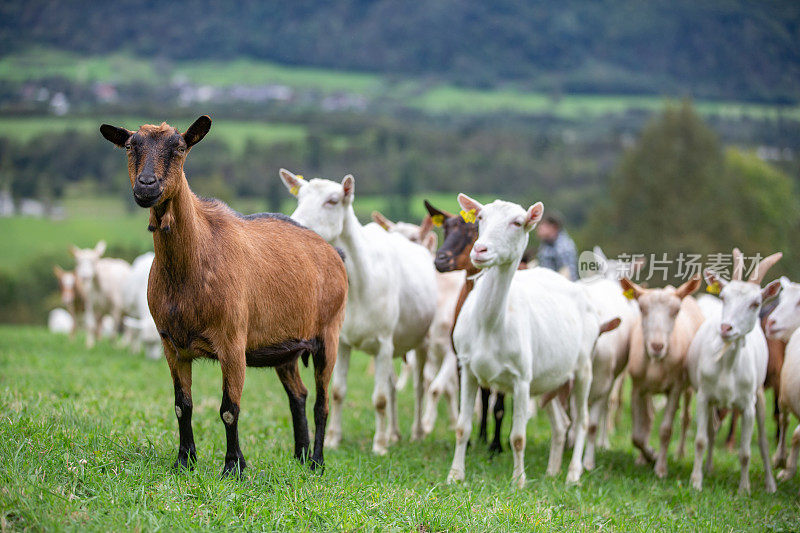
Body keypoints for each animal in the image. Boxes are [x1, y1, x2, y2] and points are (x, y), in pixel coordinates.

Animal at [97, 115, 346, 474]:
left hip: (329, 333)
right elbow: (182, 405)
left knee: (322, 402)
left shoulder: (232, 342)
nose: (146, 185)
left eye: (180, 148)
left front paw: (233, 467)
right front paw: (184, 460)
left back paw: (316, 462)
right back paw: (299, 456)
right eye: (130, 146)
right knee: (298, 395)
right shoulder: (172, 344)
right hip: (286, 347)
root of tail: (334, 253)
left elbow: (229, 408)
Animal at [278, 168, 434, 450]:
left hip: (423, 339)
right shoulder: (342, 340)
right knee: (393, 385)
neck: (362, 284)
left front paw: (379, 445)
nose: (294, 225)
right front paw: (333, 439)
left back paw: (416, 432)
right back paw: (394, 432)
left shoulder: (384, 341)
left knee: (419, 385)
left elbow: (380, 398)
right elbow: (338, 391)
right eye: (299, 197)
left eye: (332, 200)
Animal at [446, 195, 604, 486]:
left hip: (584, 364)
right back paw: (552, 470)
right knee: (562, 423)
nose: (480, 250)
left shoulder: (521, 378)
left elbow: (518, 437)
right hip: (550, 377)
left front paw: (518, 481)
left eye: (517, 222)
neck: (490, 325)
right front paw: (455, 475)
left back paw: (573, 473)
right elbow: (462, 427)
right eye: (481, 217)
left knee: (583, 421)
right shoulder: (468, 367)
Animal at [688, 249, 780, 494]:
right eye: (723, 297)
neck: (727, 366)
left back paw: (770, 484)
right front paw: (696, 481)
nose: (726, 328)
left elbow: (746, 452)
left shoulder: (747, 405)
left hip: (759, 395)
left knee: (763, 443)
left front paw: (744, 490)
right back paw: (709, 469)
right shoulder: (704, 397)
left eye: (755, 303)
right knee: (711, 433)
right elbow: (701, 440)